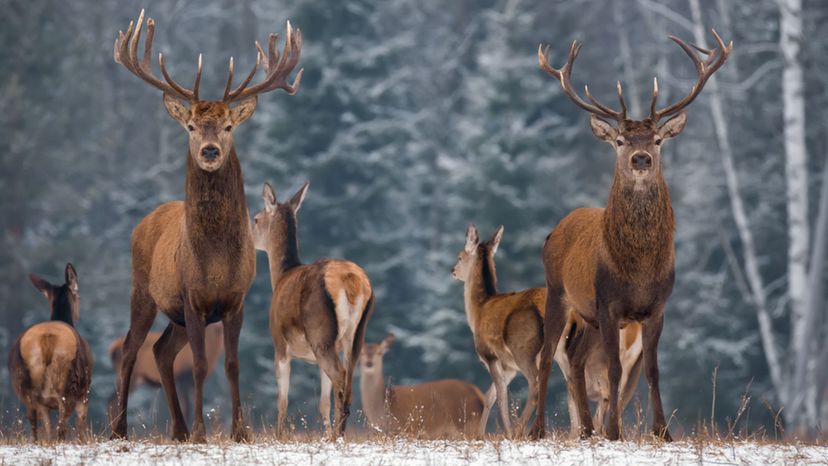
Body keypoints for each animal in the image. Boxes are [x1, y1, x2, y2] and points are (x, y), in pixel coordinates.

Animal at [8, 263, 93, 442]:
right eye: (78, 296)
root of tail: (46, 338)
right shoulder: (85, 393)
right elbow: (81, 427)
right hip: (68, 383)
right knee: (62, 427)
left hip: (24, 385)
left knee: (35, 424)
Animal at [109, 10, 303, 443]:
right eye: (191, 127)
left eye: (229, 126)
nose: (210, 151)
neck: (214, 260)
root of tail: (145, 221)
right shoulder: (192, 297)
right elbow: (198, 364)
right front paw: (201, 431)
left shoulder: (236, 300)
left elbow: (231, 364)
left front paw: (239, 431)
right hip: (143, 290)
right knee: (131, 349)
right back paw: (121, 429)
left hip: (175, 314)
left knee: (161, 350)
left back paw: (177, 430)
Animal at [252, 182, 375, 439]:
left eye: (256, 219)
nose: (248, 235)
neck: (280, 277)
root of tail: (351, 281)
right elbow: (322, 403)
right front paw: (325, 433)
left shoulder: (279, 343)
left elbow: (282, 400)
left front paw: (279, 436)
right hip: (356, 334)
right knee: (348, 381)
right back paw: (337, 434)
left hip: (321, 332)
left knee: (340, 377)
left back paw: (338, 435)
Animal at [530, 31, 732, 441]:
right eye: (621, 140)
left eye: (657, 139)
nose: (641, 159)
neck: (637, 270)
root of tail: (555, 229)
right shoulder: (607, 304)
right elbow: (614, 370)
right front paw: (614, 432)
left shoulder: (656, 308)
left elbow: (652, 370)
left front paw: (662, 431)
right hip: (559, 293)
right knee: (546, 357)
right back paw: (539, 429)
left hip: (587, 316)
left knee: (576, 360)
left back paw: (586, 430)